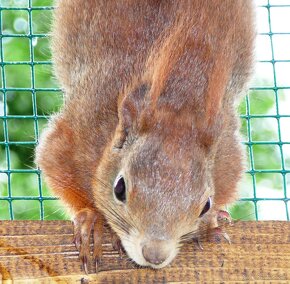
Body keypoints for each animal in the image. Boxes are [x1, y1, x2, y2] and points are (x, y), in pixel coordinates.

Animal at [35, 0, 254, 270]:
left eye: (206, 205)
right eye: (119, 188)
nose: (155, 254)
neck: (181, 102)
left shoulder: (227, 159)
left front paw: (209, 227)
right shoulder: (77, 134)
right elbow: (57, 166)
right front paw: (93, 220)